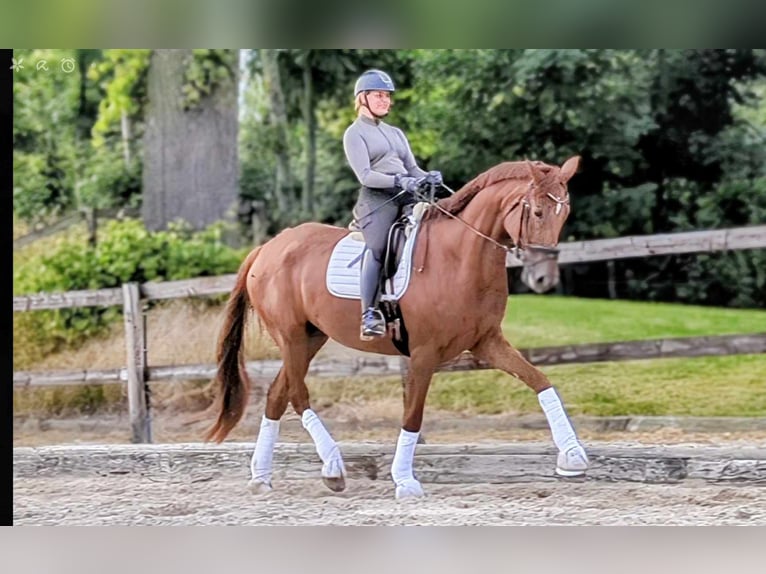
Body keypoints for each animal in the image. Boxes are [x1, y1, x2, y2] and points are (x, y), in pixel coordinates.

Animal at [204, 156, 588, 500]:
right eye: (536, 212)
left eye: (564, 214)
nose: (544, 278)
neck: (459, 257)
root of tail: (266, 248)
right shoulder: (423, 353)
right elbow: (413, 416)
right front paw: (405, 482)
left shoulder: (487, 342)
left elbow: (541, 382)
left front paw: (573, 457)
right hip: (291, 336)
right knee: (298, 395)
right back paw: (333, 468)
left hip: (310, 338)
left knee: (276, 395)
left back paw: (261, 478)